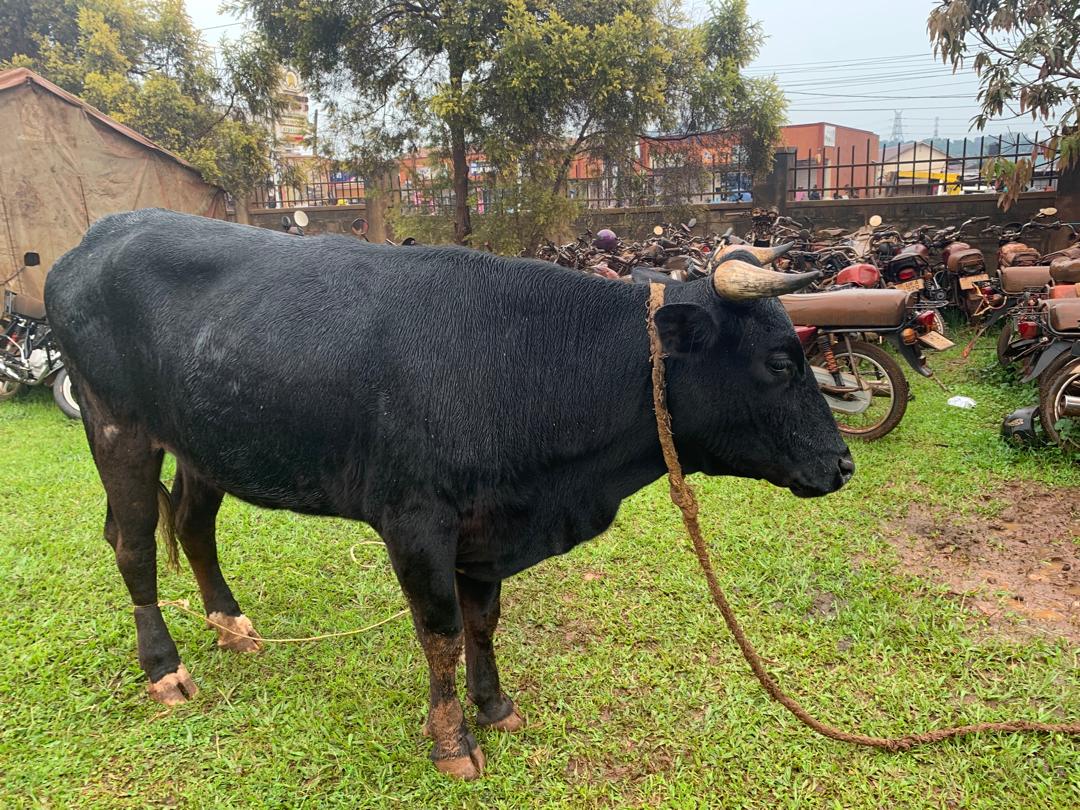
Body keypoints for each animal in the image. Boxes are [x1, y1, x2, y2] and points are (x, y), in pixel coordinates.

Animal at [45, 209, 853, 779]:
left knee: (193, 525)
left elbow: (483, 621)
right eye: (780, 361)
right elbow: (440, 633)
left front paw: (494, 706)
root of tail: (97, 236)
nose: (843, 464)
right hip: (115, 427)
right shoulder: (415, 522)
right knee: (133, 544)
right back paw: (165, 668)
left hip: (202, 442)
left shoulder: (486, 527)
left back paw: (230, 623)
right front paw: (451, 740)